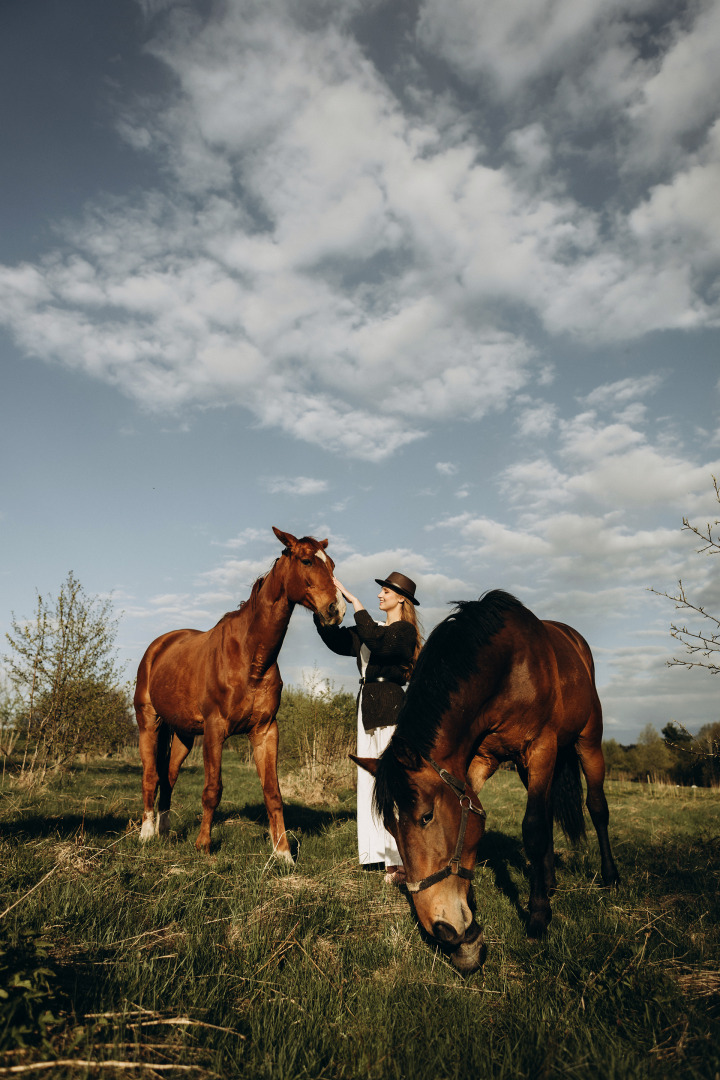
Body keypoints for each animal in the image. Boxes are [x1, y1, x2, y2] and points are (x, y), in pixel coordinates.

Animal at [136, 529, 349, 859]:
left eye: (333, 565)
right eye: (306, 560)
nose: (336, 610)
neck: (250, 657)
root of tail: (158, 646)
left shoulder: (265, 730)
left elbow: (273, 793)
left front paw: (283, 854)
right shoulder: (215, 729)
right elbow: (212, 790)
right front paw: (203, 845)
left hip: (183, 734)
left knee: (168, 778)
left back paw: (165, 832)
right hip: (149, 723)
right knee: (151, 777)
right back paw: (147, 834)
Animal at [354, 596, 621, 976]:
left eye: (425, 817)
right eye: (390, 827)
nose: (440, 927)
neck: (506, 668)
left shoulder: (540, 747)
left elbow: (534, 829)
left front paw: (538, 916)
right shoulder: (480, 760)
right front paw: (469, 934)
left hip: (588, 743)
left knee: (597, 807)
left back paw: (610, 876)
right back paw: (550, 880)